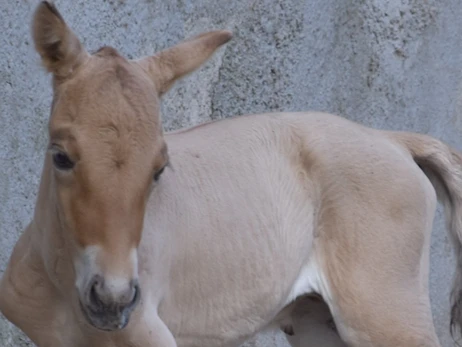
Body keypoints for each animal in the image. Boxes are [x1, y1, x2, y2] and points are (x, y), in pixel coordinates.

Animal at [2, 0, 462, 347]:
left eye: (158, 169)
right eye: (61, 156)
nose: (112, 300)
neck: (61, 281)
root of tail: (393, 140)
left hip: (386, 318)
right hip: (316, 322)